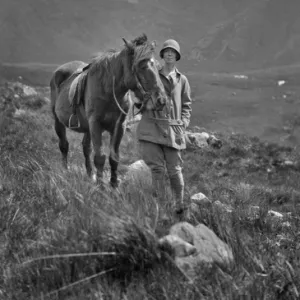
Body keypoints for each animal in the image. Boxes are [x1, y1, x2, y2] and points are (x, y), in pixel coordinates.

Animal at [49, 33, 166, 188]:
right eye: (142, 66)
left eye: (158, 66)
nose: (161, 100)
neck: (108, 89)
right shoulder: (95, 124)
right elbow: (100, 157)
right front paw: (101, 186)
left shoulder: (119, 126)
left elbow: (114, 157)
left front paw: (114, 184)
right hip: (59, 121)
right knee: (64, 145)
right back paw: (65, 171)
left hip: (87, 127)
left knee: (86, 148)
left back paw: (90, 175)